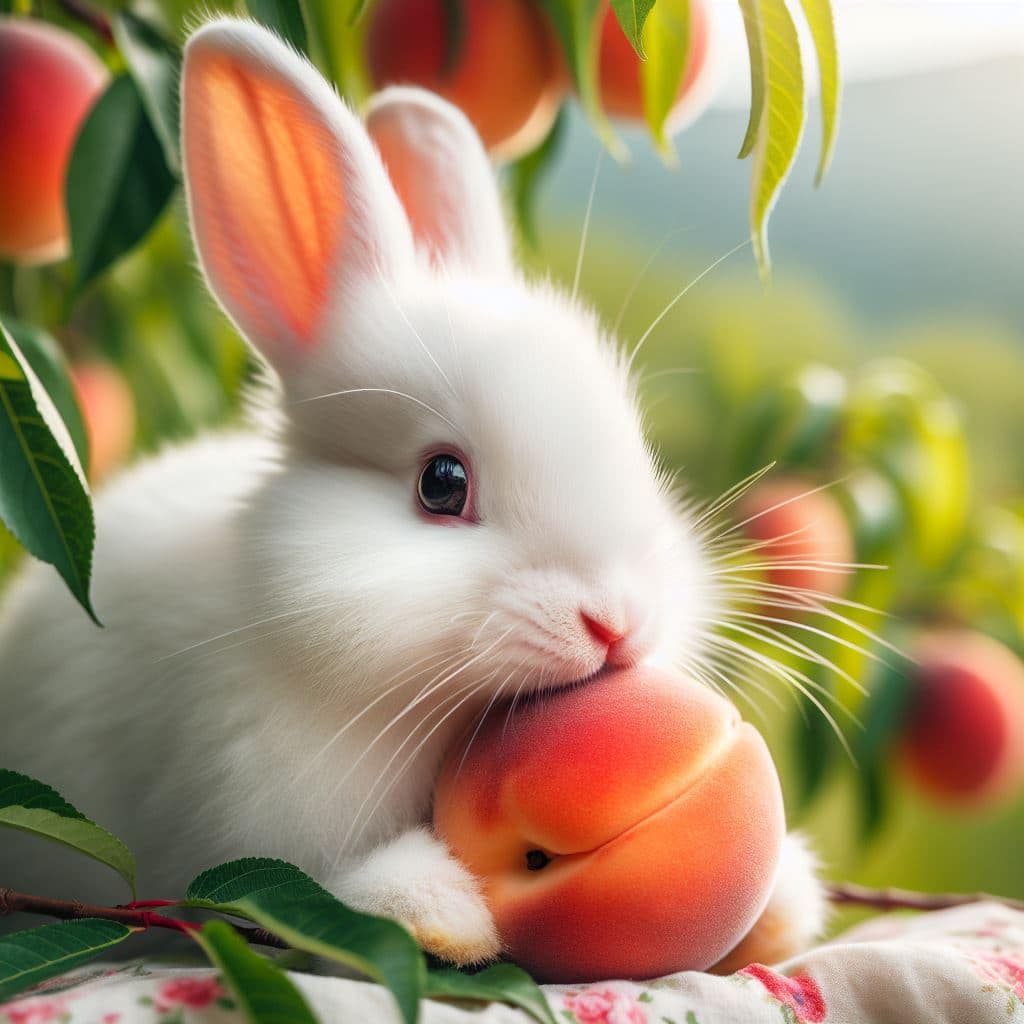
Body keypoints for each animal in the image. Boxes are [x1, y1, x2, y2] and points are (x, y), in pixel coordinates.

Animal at [0, 17, 826, 968]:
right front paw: (443, 913)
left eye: (639, 451)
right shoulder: (266, 846)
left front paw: (783, 907)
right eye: (442, 483)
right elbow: (344, 892)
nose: (617, 622)